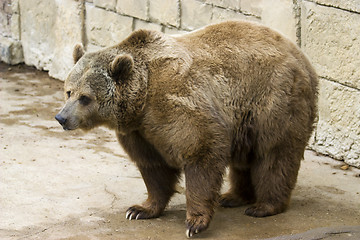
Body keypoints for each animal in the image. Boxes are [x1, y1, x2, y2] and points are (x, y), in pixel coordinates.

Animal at [54, 20, 318, 238]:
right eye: (69, 91)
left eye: (85, 98)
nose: (61, 117)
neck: (141, 101)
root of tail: (302, 56)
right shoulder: (141, 133)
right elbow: (153, 168)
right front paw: (140, 209)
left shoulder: (177, 104)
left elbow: (201, 151)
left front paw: (195, 222)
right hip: (244, 118)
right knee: (245, 158)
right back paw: (233, 196)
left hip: (273, 100)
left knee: (274, 155)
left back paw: (264, 206)